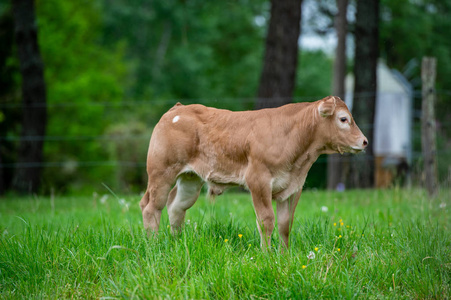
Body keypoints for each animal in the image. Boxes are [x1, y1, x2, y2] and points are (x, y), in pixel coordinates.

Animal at [140, 96, 368, 248]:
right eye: (343, 119)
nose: (365, 141)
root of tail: (177, 109)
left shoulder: (294, 187)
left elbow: (285, 224)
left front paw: (285, 256)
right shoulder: (258, 181)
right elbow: (266, 221)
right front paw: (267, 255)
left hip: (190, 179)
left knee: (176, 207)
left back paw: (177, 243)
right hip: (161, 172)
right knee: (151, 207)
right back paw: (153, 245)